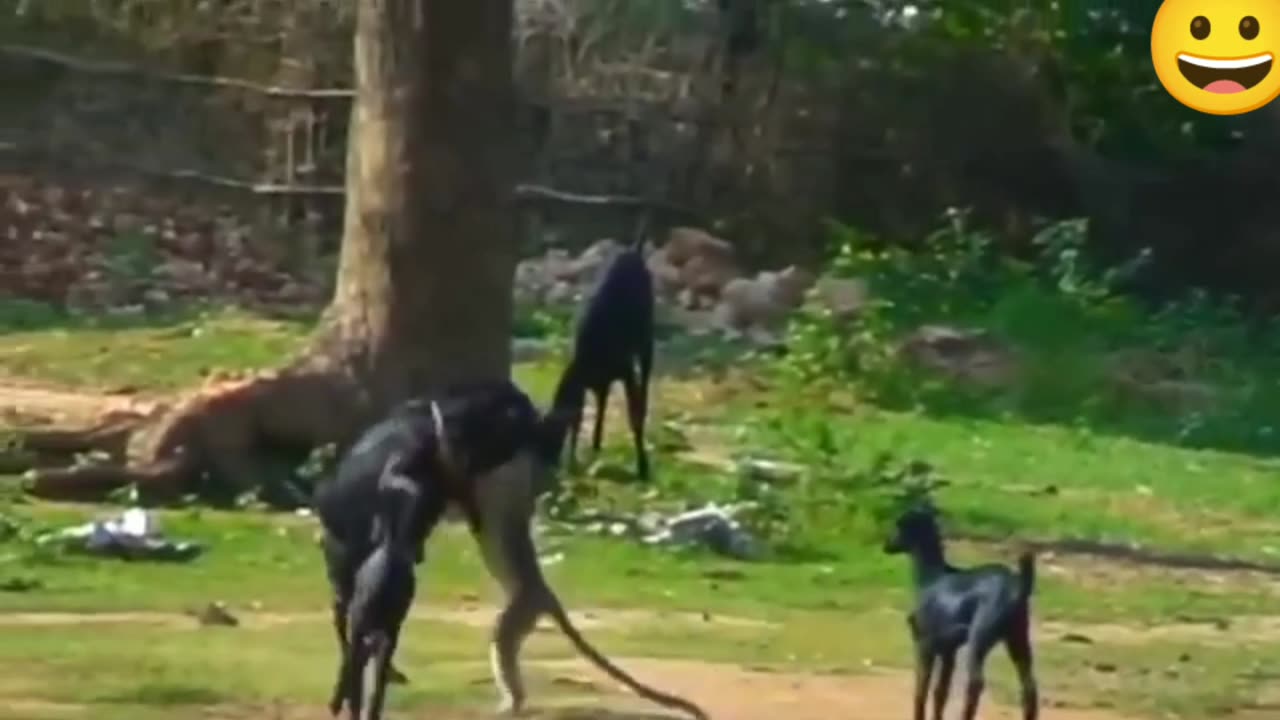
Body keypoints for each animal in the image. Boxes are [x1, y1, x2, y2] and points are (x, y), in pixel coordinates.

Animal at [327, 458, 417, 717]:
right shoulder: (387, 632)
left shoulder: (359, 625)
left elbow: (352, 663)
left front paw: (340, 701)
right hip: (386, 631)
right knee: (375, 682)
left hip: (363, 623)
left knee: (356, 662)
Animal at [550, 243, 655, 479]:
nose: (554, 464)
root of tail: (633, 252)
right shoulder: (594, 386)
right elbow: (588, 414)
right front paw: (587, 450)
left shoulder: (625, 371)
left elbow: (633, 416)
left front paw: (643, 467)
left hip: (645, 338)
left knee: (645, 378)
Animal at [890, 502, 1039, 717]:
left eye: (899, 524)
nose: (886, 544)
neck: (932, 577)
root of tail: (1017, 585)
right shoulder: (948, 652)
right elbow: (940, 692)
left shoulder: (924, 645)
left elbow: (921, 690)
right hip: (1017, 638)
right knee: (1029, 686)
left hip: (979, 638)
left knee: (976, 682)